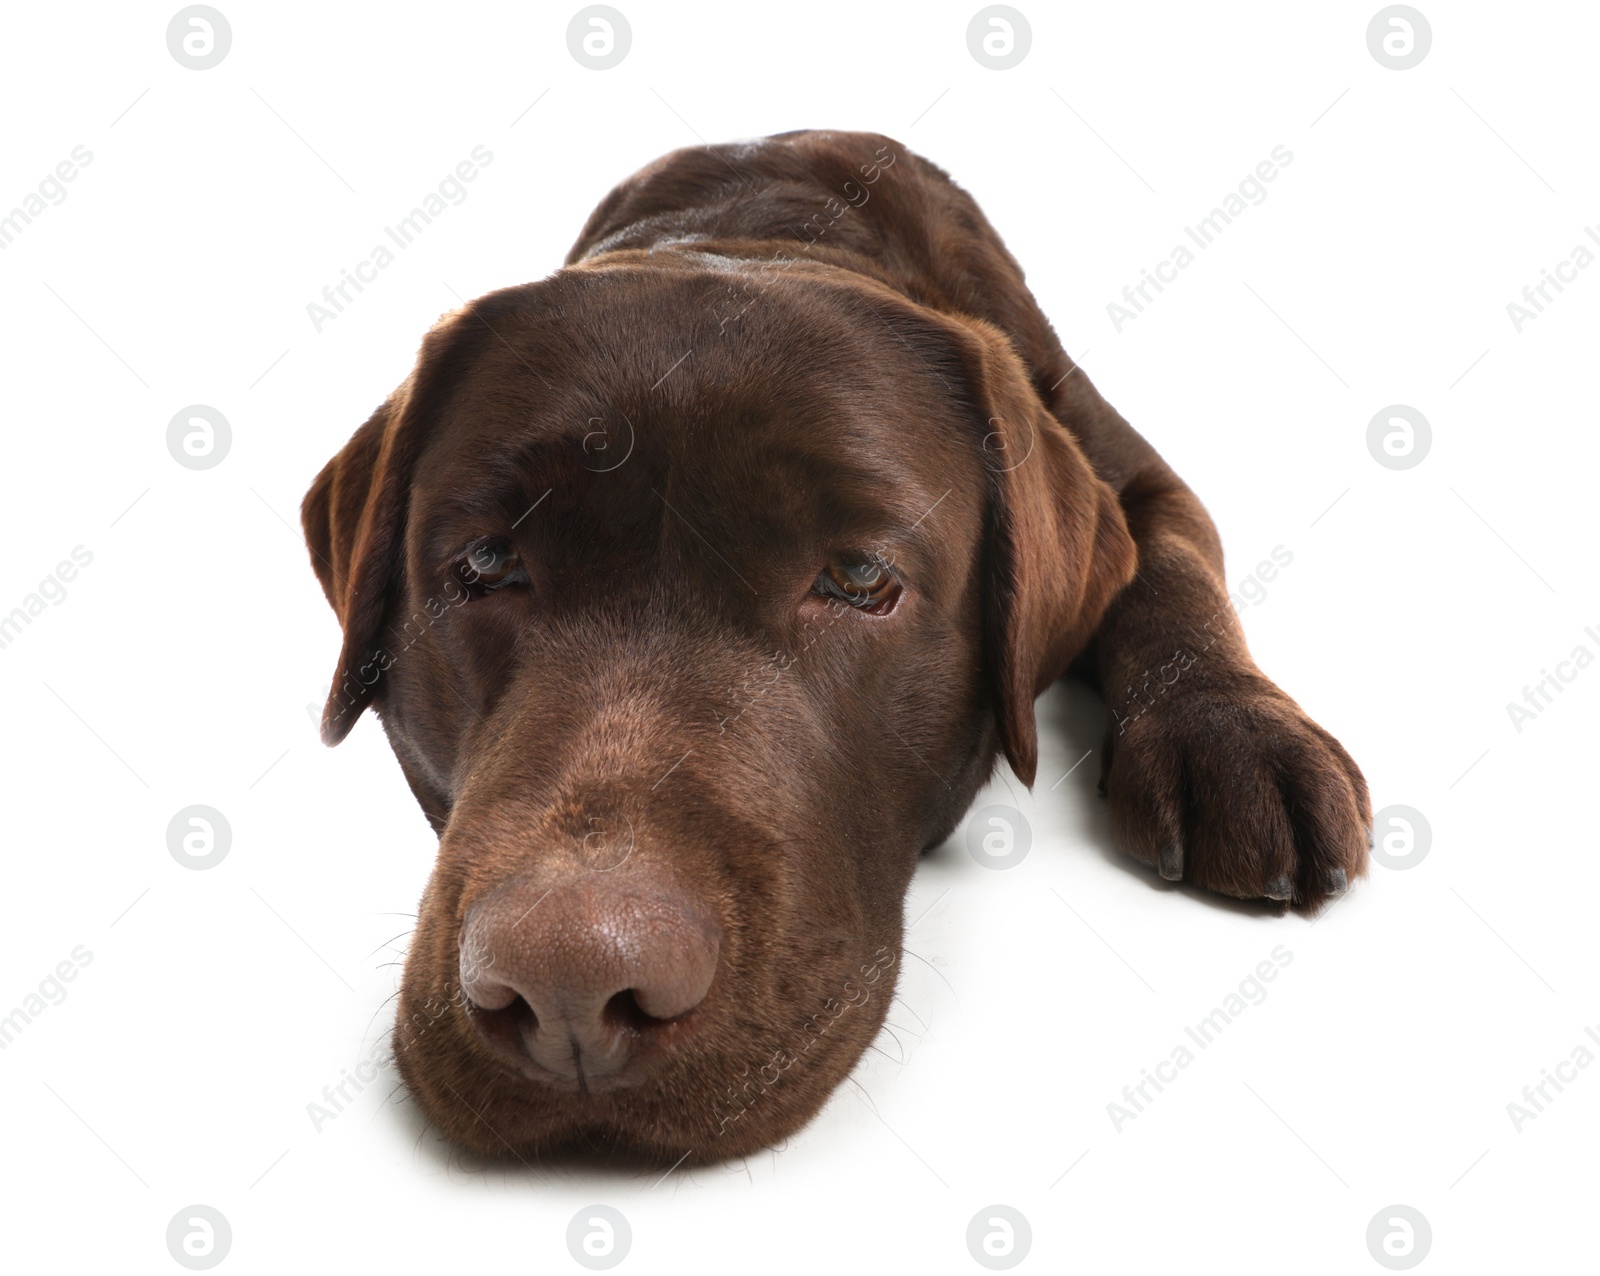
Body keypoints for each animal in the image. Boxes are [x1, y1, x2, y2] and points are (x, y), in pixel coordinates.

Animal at [302, 129, 1376, 1170]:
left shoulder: (1135, 473)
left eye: (860, 579)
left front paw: (1232, 736)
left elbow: (1171, 568)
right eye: (486, 563)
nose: (573, 991)